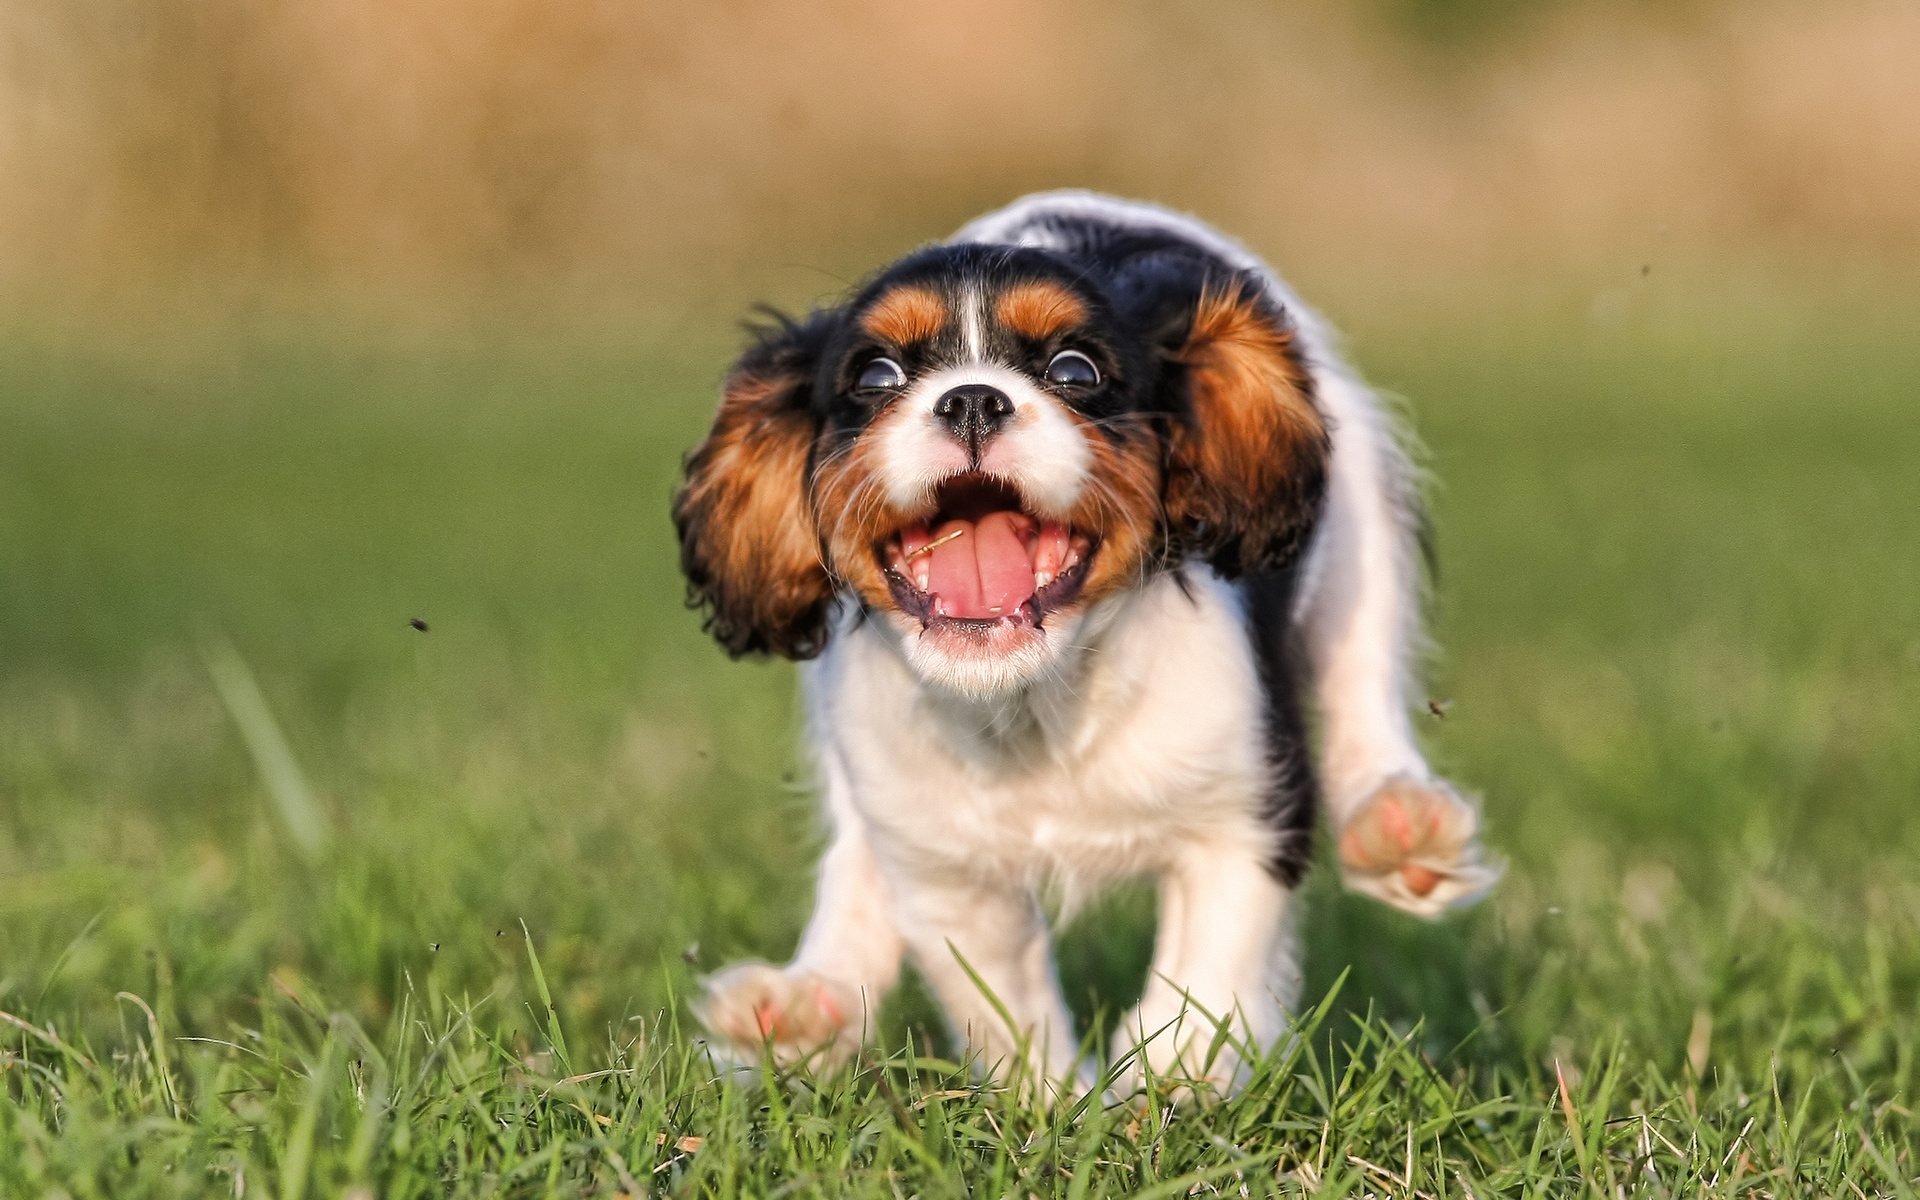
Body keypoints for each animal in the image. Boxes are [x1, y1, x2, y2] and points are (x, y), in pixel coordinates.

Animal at [675, 187, 1497, 1082]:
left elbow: (1207, 977)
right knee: (856, 849)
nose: (971, 398)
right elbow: (1003, 1012)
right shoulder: (952, 878)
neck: (1035, 699)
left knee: (1363, 686)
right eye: (876, 376)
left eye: (1076, 371)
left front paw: (1163, 1089)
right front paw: (1050, 1103)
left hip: (1361, 522)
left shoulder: (1246, 817)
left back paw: (1400, 824)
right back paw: (805, 1003)